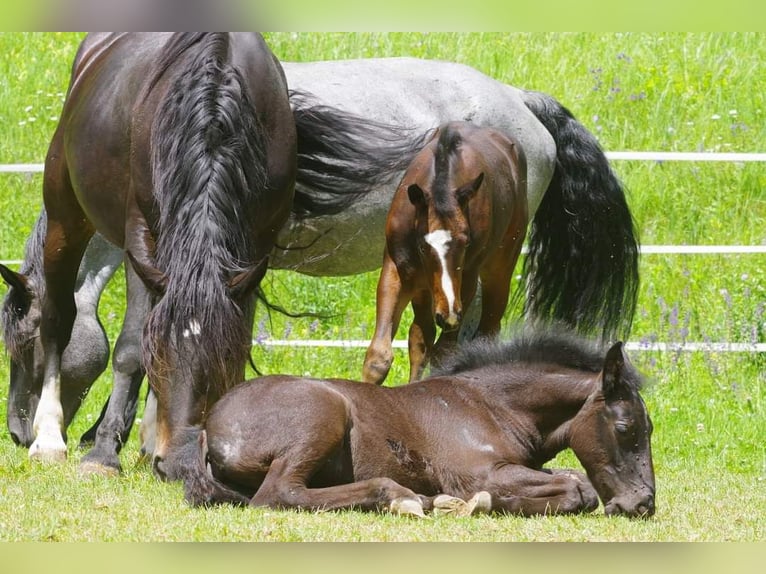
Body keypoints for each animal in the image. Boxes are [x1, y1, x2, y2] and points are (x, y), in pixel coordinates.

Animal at [18, 32, 300, 500]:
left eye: (223, 358)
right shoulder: (140, 236)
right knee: (58, 316)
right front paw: (102, 457)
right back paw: (50, 438)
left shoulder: (257, 243)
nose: (182, 462)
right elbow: (132, 348)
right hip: (64, 215)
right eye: (162, 356)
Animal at [183, 326, 656, 520]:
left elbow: (577, 478)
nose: (643, 504)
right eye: (626, 428)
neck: (492, 406)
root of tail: (211, 427)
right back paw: (402, 497)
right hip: (323, 415)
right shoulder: (481, 473)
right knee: (280, 493)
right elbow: (578, 491)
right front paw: (477, 503)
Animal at [364, 122, 528, 384]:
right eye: (423, 246)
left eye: (466, 242)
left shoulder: (467, 279)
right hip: (424, 288)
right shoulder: (396, 271)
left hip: (500, 268)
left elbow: (444, 353)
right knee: (420, 337)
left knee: (488, 329)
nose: (449, 313)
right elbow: (379, 357)